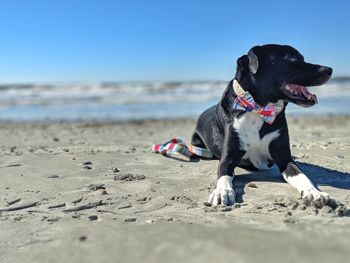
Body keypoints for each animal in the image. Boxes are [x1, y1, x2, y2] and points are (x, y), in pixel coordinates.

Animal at [193, 43, 334, 208]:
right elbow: (224, 176)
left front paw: (315, 193)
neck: (260, 109)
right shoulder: (227, 159)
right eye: (293, 59)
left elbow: (301, 176)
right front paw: (223, 192)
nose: (329, 69)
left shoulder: (284, 158)